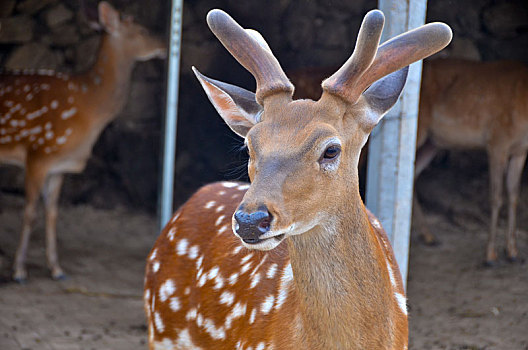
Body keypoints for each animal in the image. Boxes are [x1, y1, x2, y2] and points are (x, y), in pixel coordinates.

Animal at [0, 0, 165, 282]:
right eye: (141, 30)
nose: (164, 46)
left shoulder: (58, 164)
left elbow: (52, 213)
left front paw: (57, 269)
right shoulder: (38, 152)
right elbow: (30, 213)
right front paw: (19, 270)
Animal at [414, 58, 528, 264]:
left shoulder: (521, 149)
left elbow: (514, 195)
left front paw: (513, 252)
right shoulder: (497, 140)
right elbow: (496, 197)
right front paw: (490, 256)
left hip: (433, 142)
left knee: (412, 173)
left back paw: (429, 236)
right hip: (420, 128)